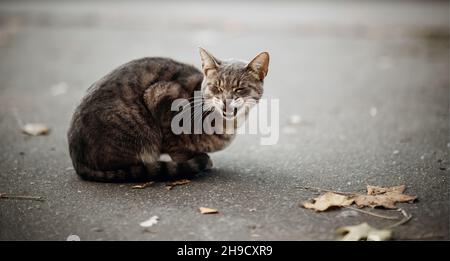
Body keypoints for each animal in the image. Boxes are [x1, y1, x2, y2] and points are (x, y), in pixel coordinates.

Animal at [67, 47, 268, 181]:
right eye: (216, 87)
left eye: (239, 89)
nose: (225, 100)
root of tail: (76, 159)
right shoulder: (161, 96)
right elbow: (176, 146)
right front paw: (193, 162)